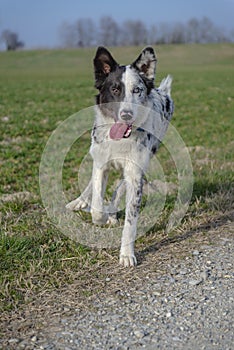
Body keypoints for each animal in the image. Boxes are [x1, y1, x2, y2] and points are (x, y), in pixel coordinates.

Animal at [66, 45, 174, 266]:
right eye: (115, 89)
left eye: (137, 90)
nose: (126, 114)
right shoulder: (101, 164)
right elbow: (97, 205)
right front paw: (98, 215)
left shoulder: (135, 173)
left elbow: (130, 220)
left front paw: (126, 254)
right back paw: (80, 202)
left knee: (119, 189)